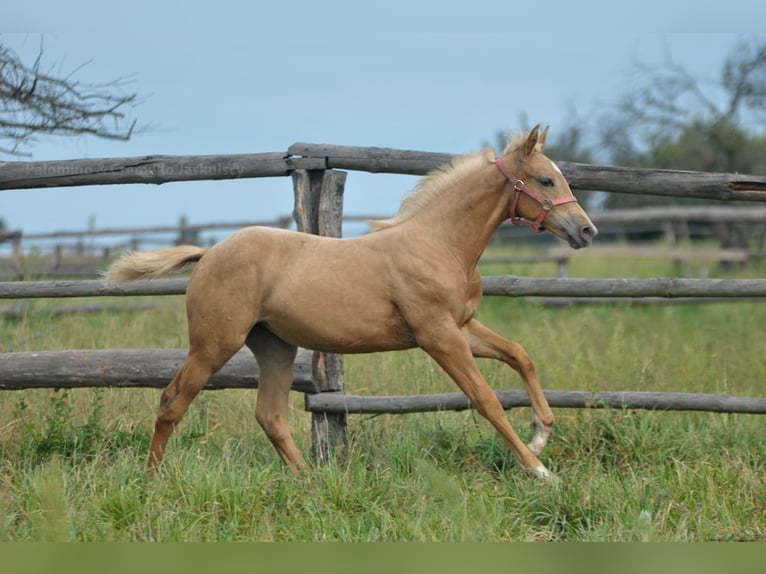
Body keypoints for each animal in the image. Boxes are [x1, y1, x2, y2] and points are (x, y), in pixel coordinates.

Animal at [108, 125, 600, 482]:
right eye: (545, 179)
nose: (586, 230)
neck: (440, 244)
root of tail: (209, 254)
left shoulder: (461, 327)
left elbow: (520, 354)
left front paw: (541, 434)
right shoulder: (438, 335)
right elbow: (486, 399)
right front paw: (541, 471)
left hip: (273, 346)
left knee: (270, 415)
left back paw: (312, 482)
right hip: (214, 343)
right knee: (172, 401)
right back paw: (152, 480)